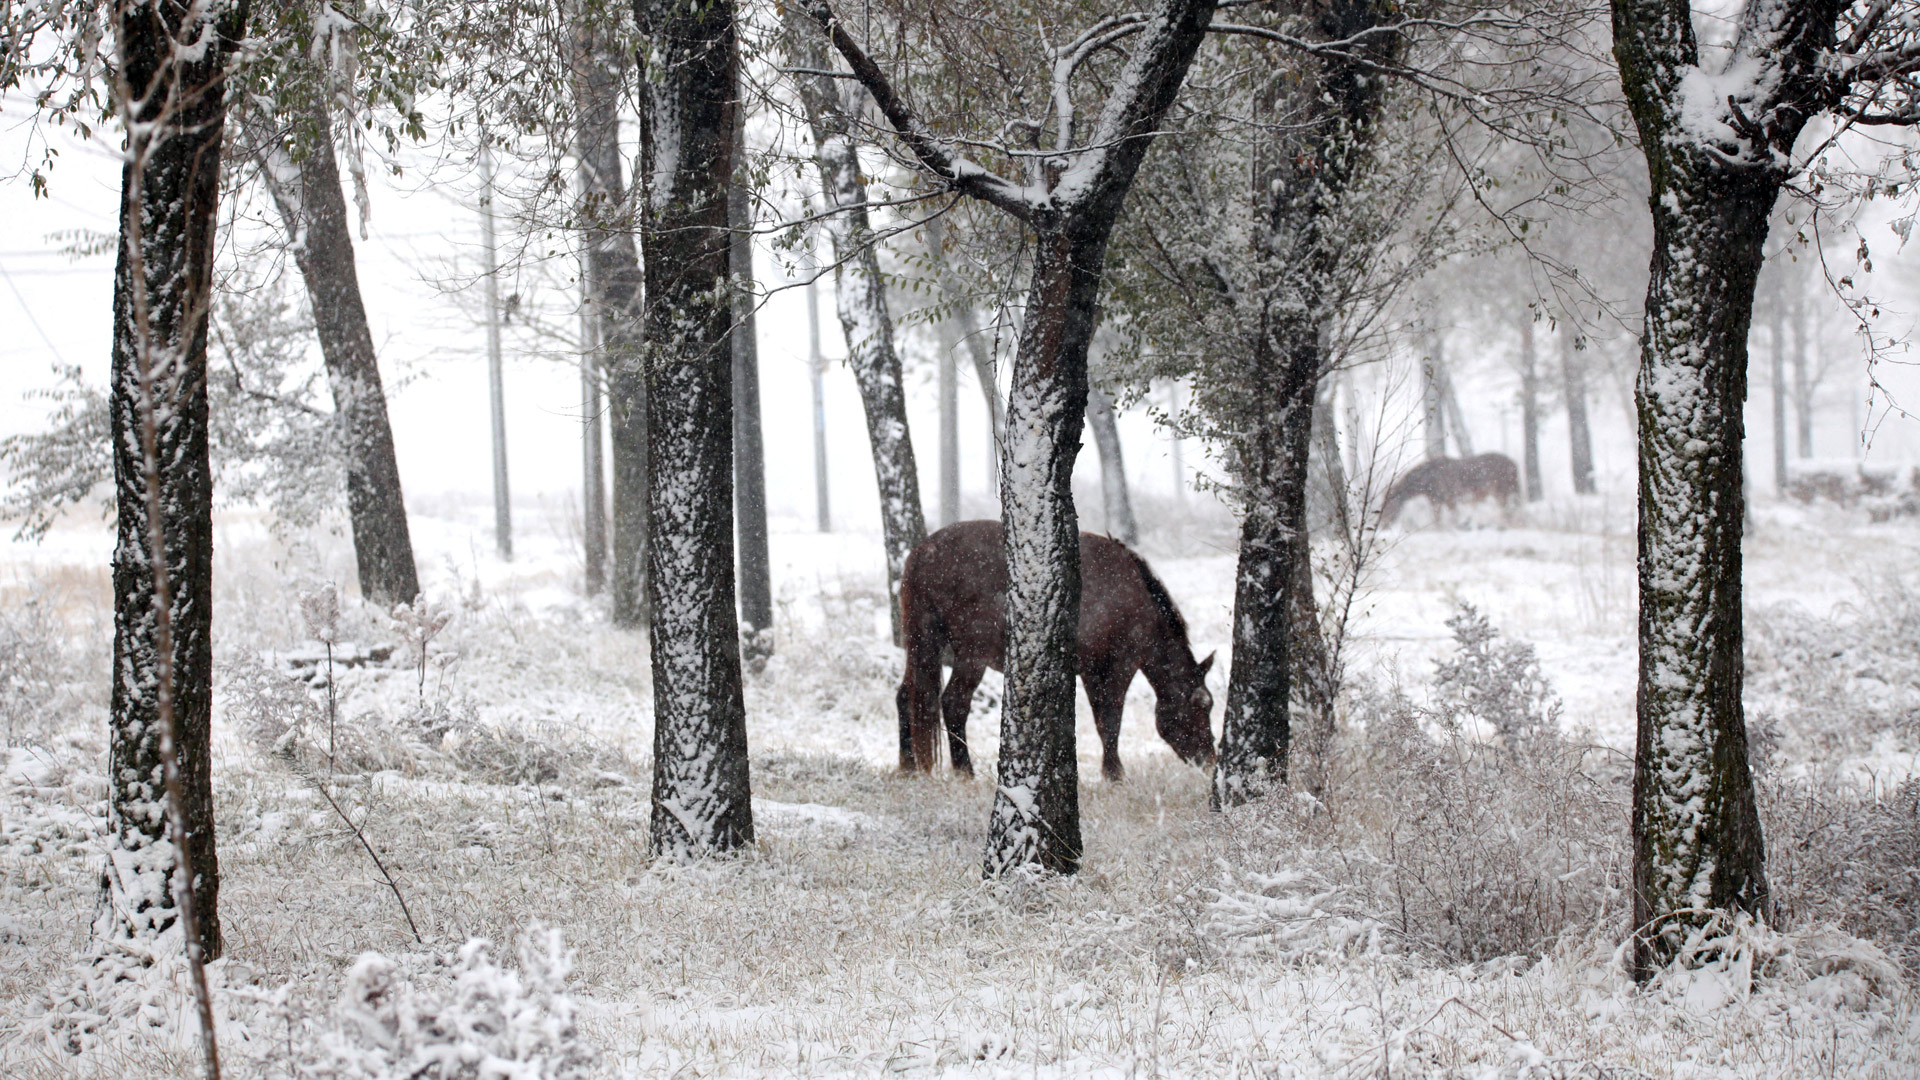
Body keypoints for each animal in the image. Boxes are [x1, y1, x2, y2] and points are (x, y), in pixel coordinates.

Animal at [894, 518, 1213, 776]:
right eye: (1202, 705)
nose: (1209, 759)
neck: (1134, 595)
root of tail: (924, 552)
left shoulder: (1091, 671)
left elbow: (1102, 721)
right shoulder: (1117, 667)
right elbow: (1111, 720)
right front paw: (1115, 774)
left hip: (925, 644)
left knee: (906, 696)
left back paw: (908, 766)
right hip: (972, 656)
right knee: (954, 702)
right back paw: (964, 771)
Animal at [1382, 449, 1512, 526]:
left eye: (1389, 505)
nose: (1384, 524)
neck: (1429, 478)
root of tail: (1512, 463)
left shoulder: (1447, 500)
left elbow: (1447, 518)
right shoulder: (1439, 501)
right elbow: (1440, 518)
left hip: (1500, 494)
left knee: (1506, 512)